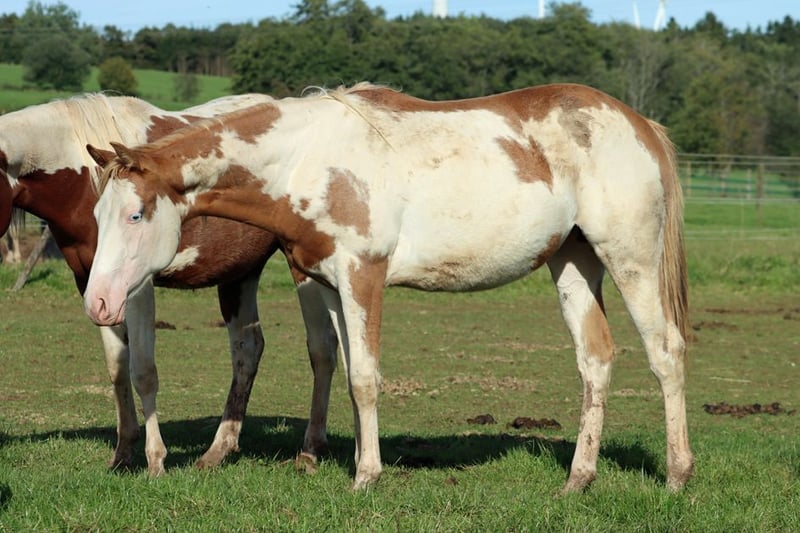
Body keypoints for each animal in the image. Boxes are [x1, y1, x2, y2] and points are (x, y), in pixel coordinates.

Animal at [0, 94, 338, 475]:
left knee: (322, 348)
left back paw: (309, 450)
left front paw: (155, 461)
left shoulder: (137, 286)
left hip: (303, 269)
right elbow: (117, 369)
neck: (77, 179)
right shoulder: (96, 287)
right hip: (239, 275)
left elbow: (143, 371)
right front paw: (122, 453)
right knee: (247, 350)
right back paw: (218, 449)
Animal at [85, 82, 695, 493]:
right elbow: (348, 368)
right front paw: (358, 460)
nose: (98, 302)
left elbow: (365, 378)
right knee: (595, 359)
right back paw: (578, 479)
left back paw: (676, 475)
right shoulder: (331, 284)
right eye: (97, 213)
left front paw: (366, 477)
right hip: (573, 261)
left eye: (136, 215)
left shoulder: (364, 275)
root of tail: (640, 124)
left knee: (666, 353)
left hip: (630, 259)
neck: (307, 159)